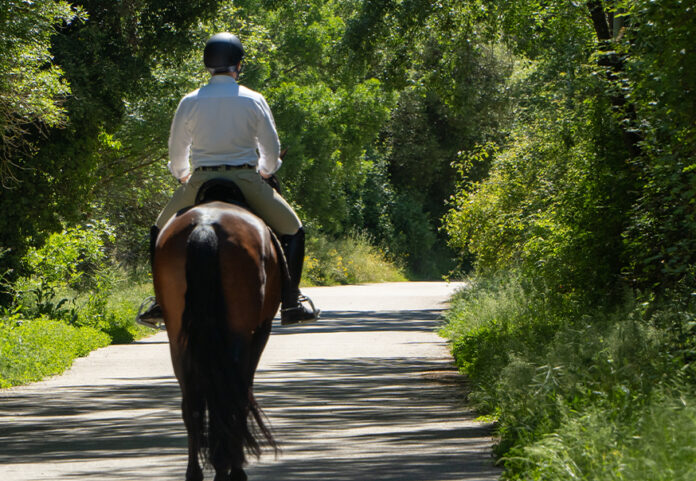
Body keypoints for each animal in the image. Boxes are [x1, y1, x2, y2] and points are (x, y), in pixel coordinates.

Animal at [153, 195, 281, 481]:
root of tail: (205, 226)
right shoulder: (260, 331)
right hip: (241, 335)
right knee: (231, 396)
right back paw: (228, 468)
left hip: (178, 338)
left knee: (192, 402)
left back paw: (196, 471)